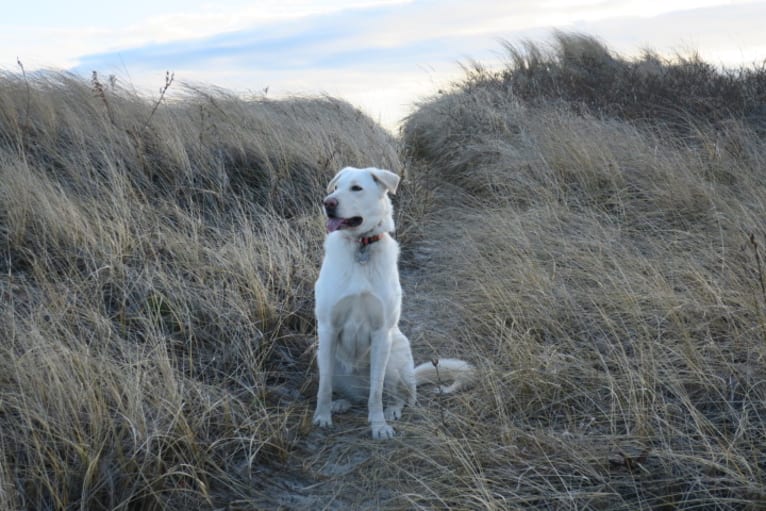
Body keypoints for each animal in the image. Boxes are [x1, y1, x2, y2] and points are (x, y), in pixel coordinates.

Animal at [314, 166, 474, 438]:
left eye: (356, 188)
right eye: (335, 188)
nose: (328, 203)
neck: (361, 247)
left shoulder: (381, 332)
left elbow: (376, 392)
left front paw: (379, 426)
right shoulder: (327, 329)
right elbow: (323, 387)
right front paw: (322, 417)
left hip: (393, 355)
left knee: (400, 396)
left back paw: (391, 410)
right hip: (323, 355)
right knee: (350, 394)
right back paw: (341, 403)